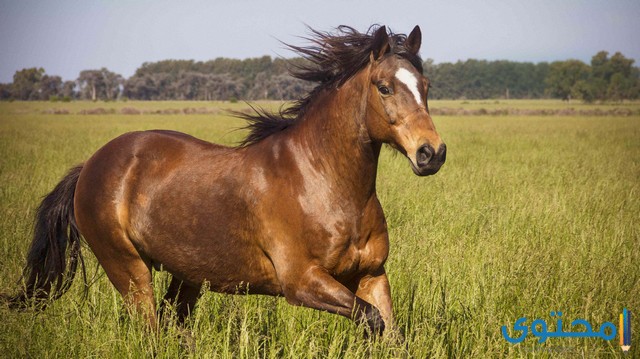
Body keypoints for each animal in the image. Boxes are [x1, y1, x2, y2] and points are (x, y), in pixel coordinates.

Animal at [5, 25, 444, 338]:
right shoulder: (302, 282)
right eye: (384, 87)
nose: (432, 153)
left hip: (186, 276)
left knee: (173, 328)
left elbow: (389, 330)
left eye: (425, 87)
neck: (323, 184)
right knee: (150, 331)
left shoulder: (371, 275)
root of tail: (90, 166)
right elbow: (371, 320)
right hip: (129, 270)